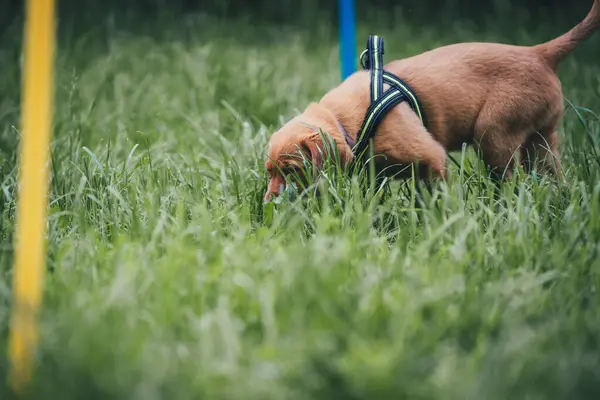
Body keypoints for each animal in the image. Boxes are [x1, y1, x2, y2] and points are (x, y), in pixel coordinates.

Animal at [264, 0, 600, 200]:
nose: (268, 202)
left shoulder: (432, 157)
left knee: (510, 180)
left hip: (493, 133)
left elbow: (435, 194)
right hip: (542, 141)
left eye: (292, 170)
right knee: (554, 176)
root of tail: (540, 53)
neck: (345, 120)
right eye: (269, 172)